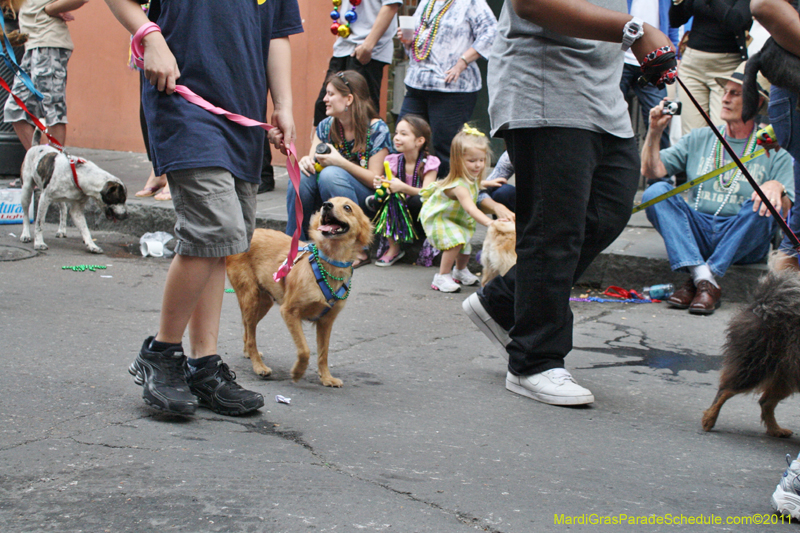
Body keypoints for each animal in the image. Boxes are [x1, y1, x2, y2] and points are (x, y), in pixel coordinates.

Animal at [227, 195, 374, 386]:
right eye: (328, 201)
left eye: (347, 207)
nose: (326, 205)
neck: (329, 263)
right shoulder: (289, 312)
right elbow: (305, 349)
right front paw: (298, 372)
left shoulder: (326, 320)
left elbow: (323, 353)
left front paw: (326, 377)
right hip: (250, 297)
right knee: (251, 335)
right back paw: (258, 366)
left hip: (264, 302)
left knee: (247, 328)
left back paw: (249, 353)